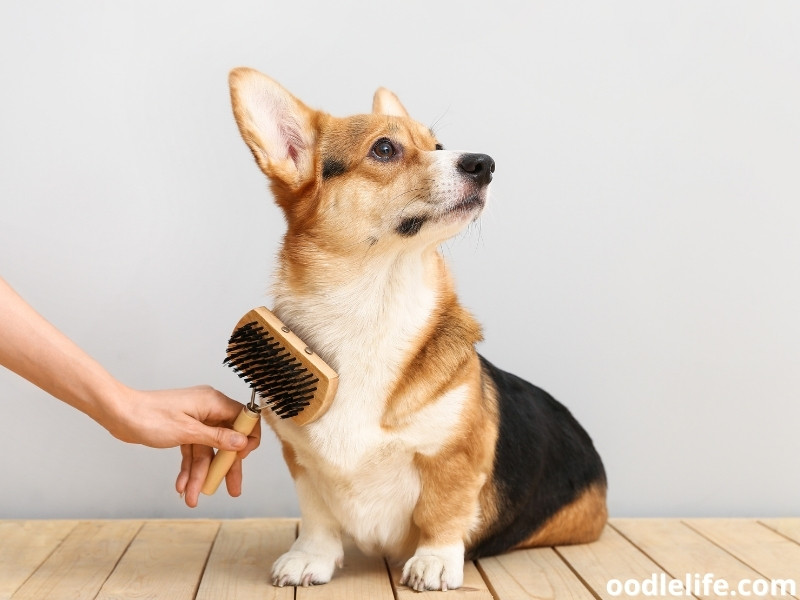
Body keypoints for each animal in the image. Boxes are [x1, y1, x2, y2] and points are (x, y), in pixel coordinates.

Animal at [225, 68, 608, 592]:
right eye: (385, 148)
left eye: (439, 144)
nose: (485, 163)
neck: (373, 306)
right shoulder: (301, 462)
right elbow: (319, 518)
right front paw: (309, 559)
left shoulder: (453, 457)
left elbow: (442, 512)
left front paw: (434, 562)